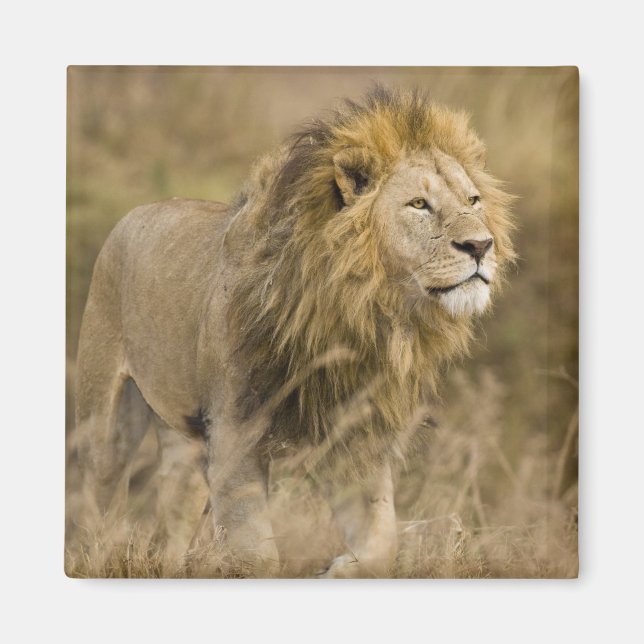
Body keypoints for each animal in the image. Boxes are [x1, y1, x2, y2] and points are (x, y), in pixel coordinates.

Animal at [74, 86, 514, 578]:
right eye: (419, 204)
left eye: (473, 201)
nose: (481, 246)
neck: (362, 310)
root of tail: (139, 210)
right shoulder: (234, 431)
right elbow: (256, 555)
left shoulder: (353, 432)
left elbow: (382, 543)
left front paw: (338, 569)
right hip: (106, 418)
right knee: (98, 498)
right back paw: (99, 557)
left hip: (185, 437)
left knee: (173, 508)